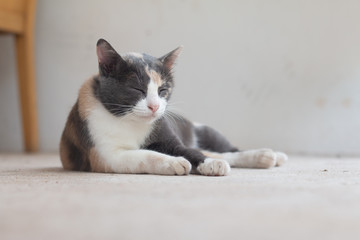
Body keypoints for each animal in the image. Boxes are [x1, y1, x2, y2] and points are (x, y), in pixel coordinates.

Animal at [60, 38, 288, 176]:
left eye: (163, 90)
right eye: (137, 89)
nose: (154, 106)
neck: (130, 122)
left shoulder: (167, 136)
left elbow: (188, 151)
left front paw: (207, 164)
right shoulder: (105, 155)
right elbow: (144, 155)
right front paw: (173, 162)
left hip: (206, 131)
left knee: (226, 151)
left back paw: (268, 155)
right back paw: (267, 157)